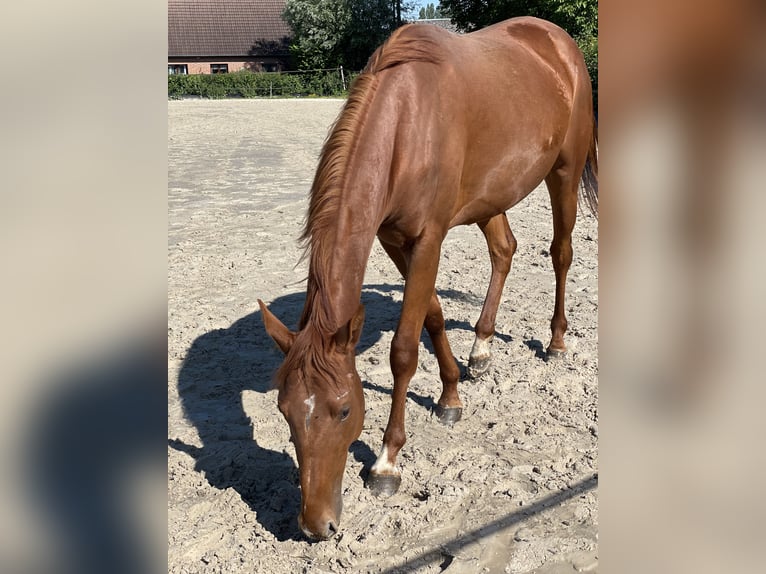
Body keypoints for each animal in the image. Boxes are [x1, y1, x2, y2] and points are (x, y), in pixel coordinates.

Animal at [258, 16, 598, 540]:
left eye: (344, 409)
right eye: (285, 411)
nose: (316, 525)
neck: (407, 124)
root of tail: (559, 43)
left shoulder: (428, 239)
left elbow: (403, 350)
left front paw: (387, 462)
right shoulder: (394, 240)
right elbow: (433, 315)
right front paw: (451, 394)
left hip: (563, 171)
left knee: (561, 254)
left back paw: (557, 341)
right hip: (492, 194)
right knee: (504, 251)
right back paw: (481, 348)